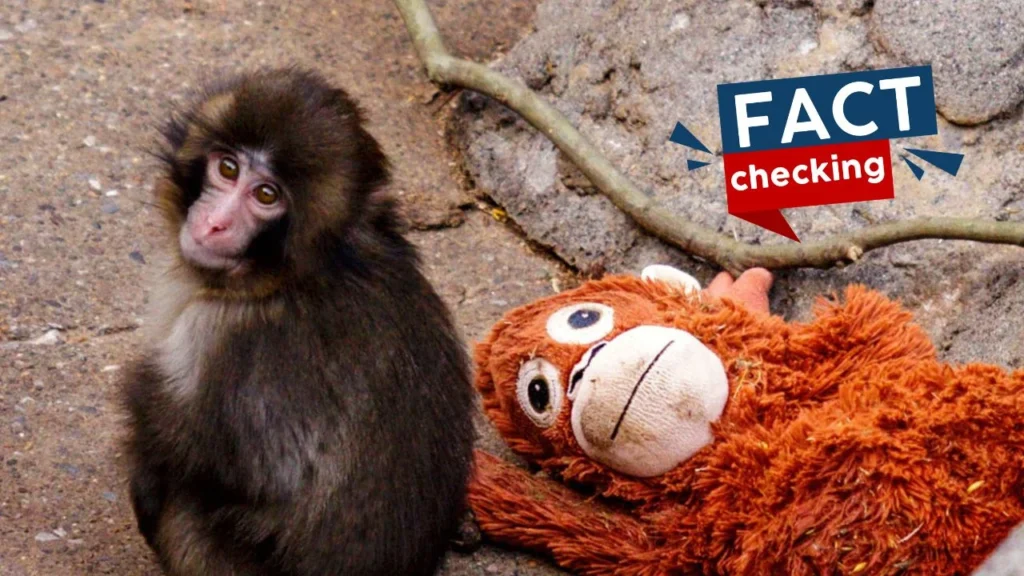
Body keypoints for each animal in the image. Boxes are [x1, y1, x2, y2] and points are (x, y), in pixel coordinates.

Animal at [121, 68, 476, 576]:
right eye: (228, 169)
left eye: (266, 195)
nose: (215, 224)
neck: (297, 276)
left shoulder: (222, 334)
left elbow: (226, 464)